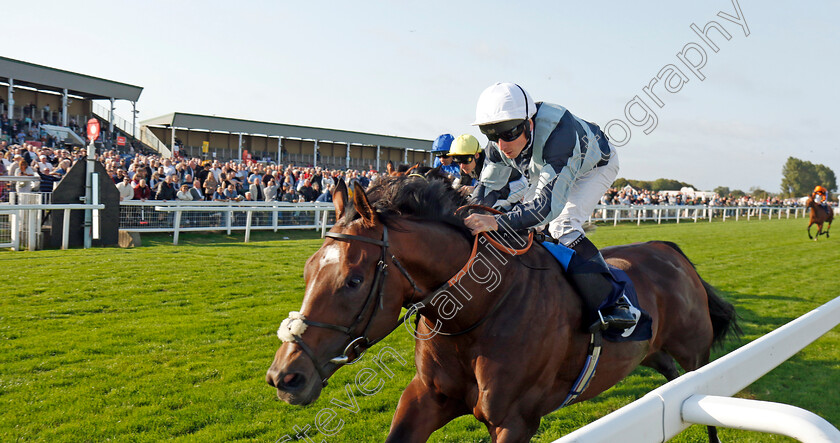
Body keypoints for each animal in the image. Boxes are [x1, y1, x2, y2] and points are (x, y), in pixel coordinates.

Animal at [266, 177, 740, 443]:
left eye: (353, 280)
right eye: (307, 271)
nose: (285, 377)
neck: (476, 314)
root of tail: (669, 249)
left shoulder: (515, 421)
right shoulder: (426, 396)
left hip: (698, 359)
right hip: (656, 355)